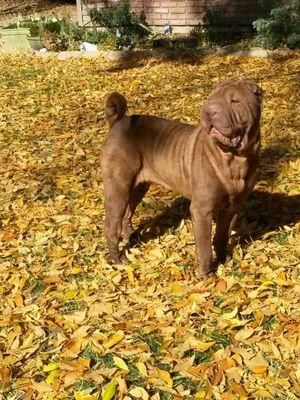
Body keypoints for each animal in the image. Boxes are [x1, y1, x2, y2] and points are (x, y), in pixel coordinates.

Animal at [101, 80, 262, 278]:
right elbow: (204, 245)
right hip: (118, 188)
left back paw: (132, 236)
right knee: (111, 228)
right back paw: (118, 259)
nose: (209, 111)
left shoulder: (233, 207)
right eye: (210, 99)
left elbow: (221, 236)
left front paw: (224, 260)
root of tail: (117, 122)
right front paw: (206, 275)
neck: (235, 159)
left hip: (138, 186)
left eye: (235, 101)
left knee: (127, 214)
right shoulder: (202, 210)